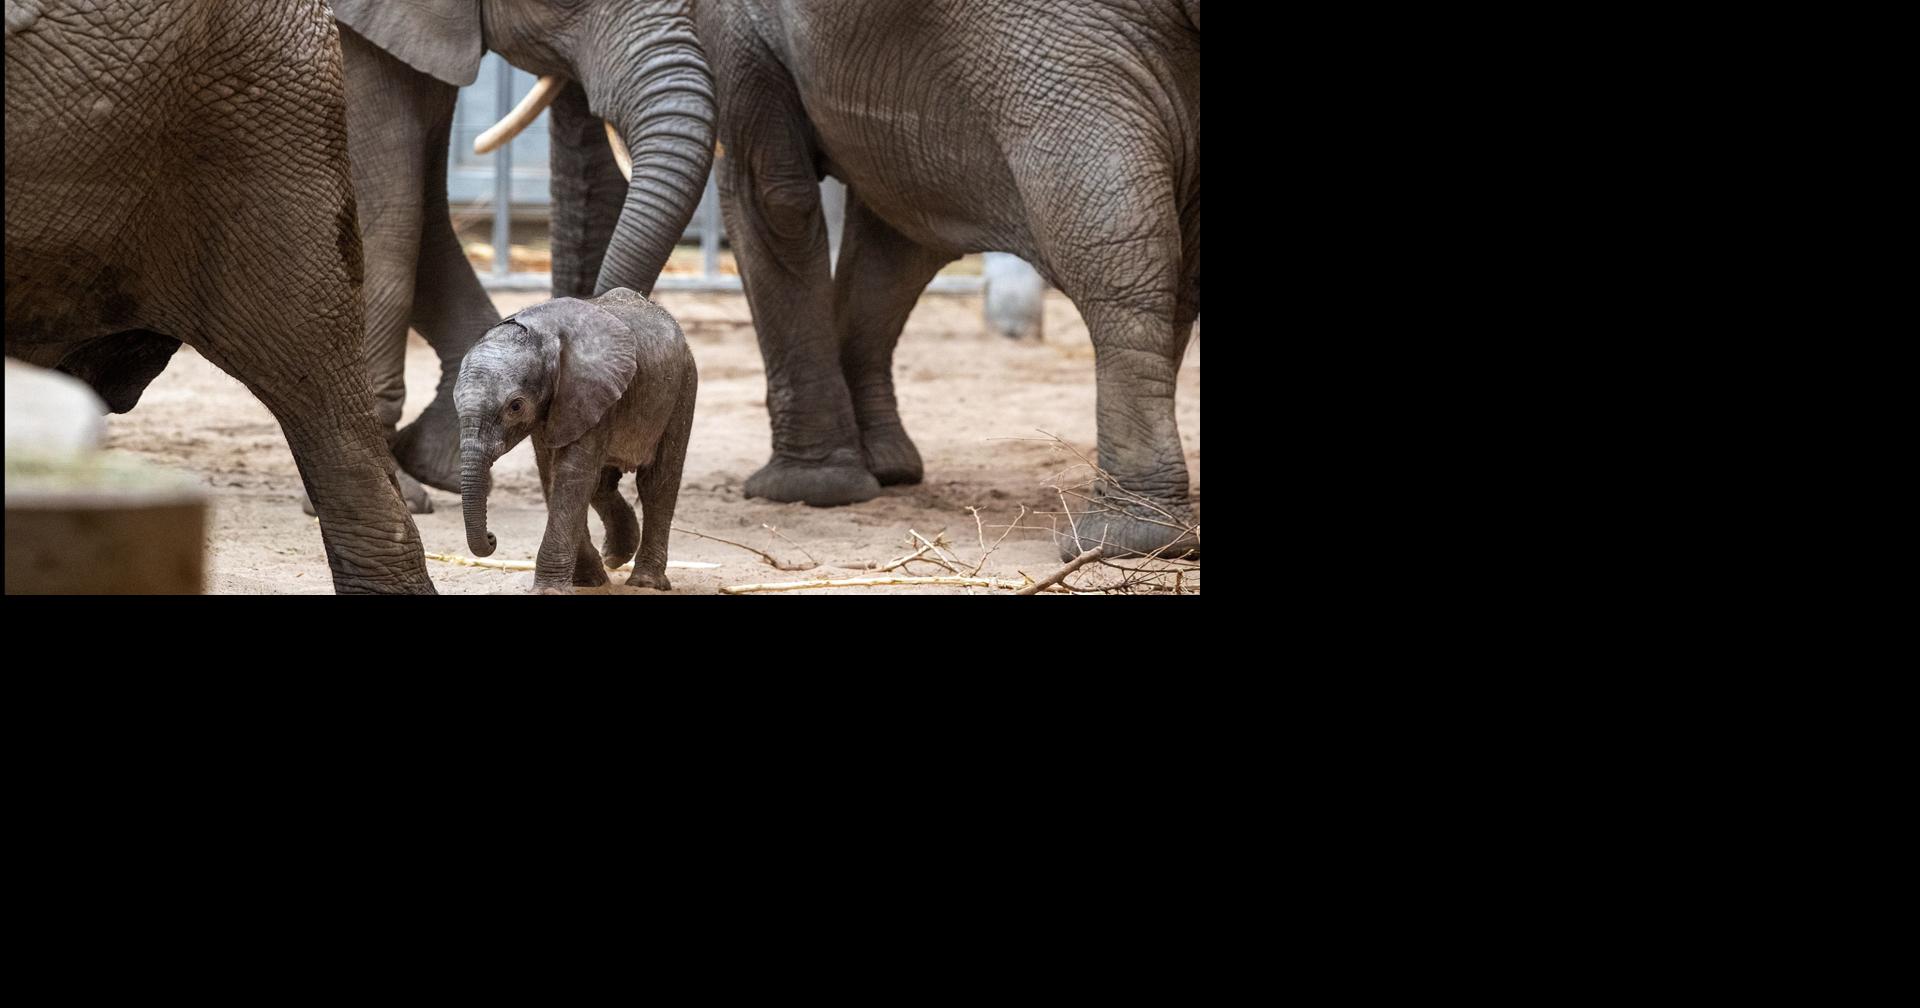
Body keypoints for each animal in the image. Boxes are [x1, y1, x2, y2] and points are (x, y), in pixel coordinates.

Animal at [456, 286, 698, 595]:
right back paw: (615, 556)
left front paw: (550, 591)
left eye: (515, 406)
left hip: (684, 385)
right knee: (602, 483)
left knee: (658, 482)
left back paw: (646, 582)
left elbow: (571, 476)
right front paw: (588, 581)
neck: (542, 334)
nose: (491, 537)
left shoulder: (590, 392)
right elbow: (553, 476)